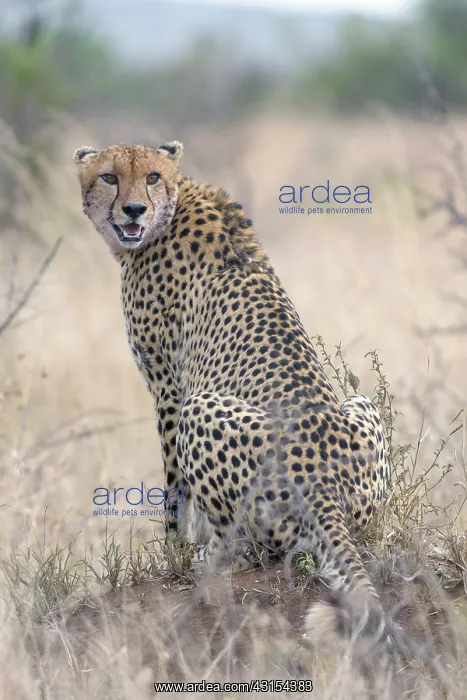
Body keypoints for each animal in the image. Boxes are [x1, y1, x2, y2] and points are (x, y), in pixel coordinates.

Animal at [73, 139, 397, 653]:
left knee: (252, 550)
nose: (134, 209)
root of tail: (325, 485)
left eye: (151, 177)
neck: (176, 201)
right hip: (362, 407)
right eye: (109, 177)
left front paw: (175, 549)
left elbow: (174, 490)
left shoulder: (169, 388)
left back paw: (210, 556)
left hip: (200, 409)